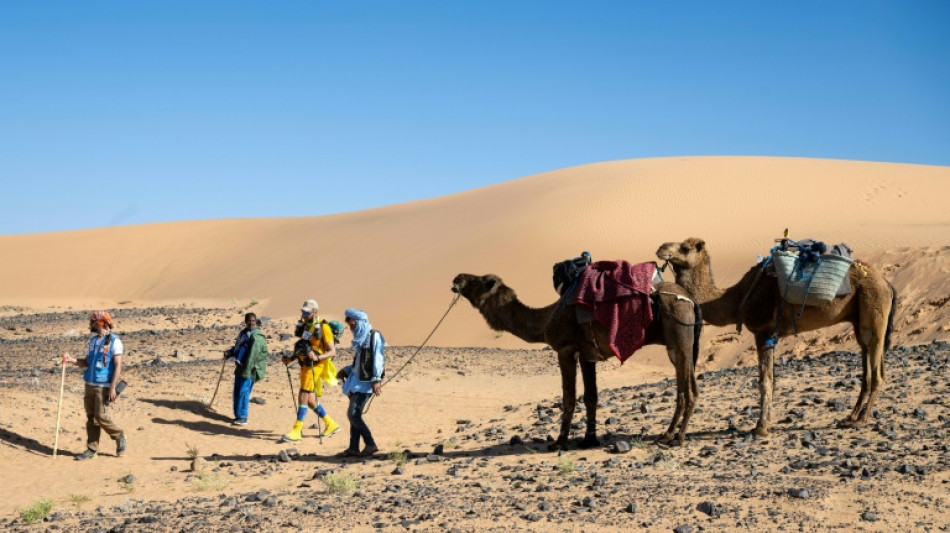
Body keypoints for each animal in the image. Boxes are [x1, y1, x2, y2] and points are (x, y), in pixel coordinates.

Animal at [450, 270, 704, 448]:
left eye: (480, 280)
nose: (458, 277)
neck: (545, 319)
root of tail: (691, 300)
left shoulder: (566, 349)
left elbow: (569, 397)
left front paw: (559, 442)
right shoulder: (588, 353)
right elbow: (591, 396)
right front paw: (589, 439)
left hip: (681, 334)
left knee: (691, 389)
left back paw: (679, 437)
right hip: (674, 345)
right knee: (682, 387)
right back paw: (667, 433)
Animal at [660, 238, 896, 436]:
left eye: (685, 247)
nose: (661, 248)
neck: (737, 297)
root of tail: (886, 282)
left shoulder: (763, 332)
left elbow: (764, 382)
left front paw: (761, 427)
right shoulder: (771, 336)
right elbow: (772, 380)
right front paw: (767, 423)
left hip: (875, 309)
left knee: (877, 371)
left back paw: (862, 419)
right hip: (860, 321)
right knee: (867, 363)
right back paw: (850, 417)